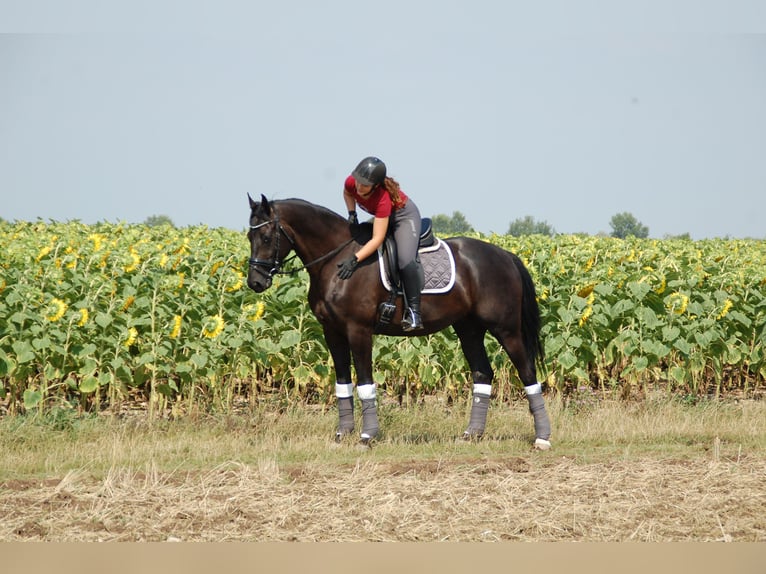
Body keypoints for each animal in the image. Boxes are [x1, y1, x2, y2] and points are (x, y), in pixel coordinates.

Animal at [246, 196, 552, 452]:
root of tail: (505, 256)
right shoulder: (331, 332)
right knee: (483, 374)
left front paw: (367, 436)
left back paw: (542, 438)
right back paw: (472, 435)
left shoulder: (358, 331)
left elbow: (365, 382)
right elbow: (343, 383)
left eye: (266, 236)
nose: (255, 282)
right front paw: (342, 434)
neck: (337, 260)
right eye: (249, 235)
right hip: (469, 330)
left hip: (506, 330)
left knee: (527, 373)